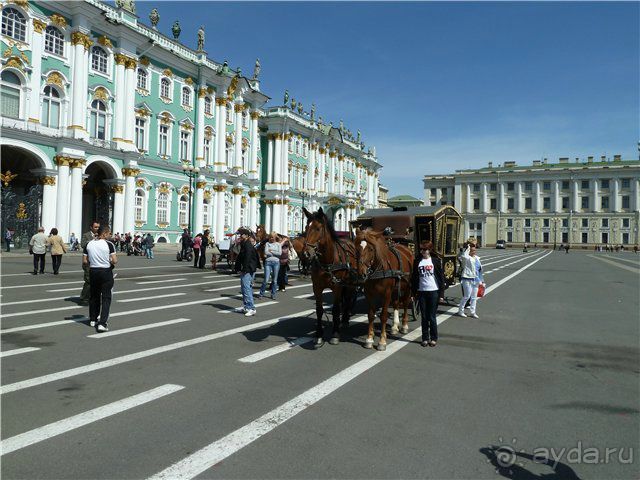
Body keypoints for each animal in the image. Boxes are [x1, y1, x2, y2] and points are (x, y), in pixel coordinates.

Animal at [302, 206, 358, 348]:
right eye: (306, 227)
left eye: (318, 228)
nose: (306, 254)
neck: (327, 262)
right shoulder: (316, 287)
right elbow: (319, 310)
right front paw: (318, 335)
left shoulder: (337, 287)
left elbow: (335, 309)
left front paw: (335, 335)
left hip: (350, 284)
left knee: (347, 300)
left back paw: (345, 320)